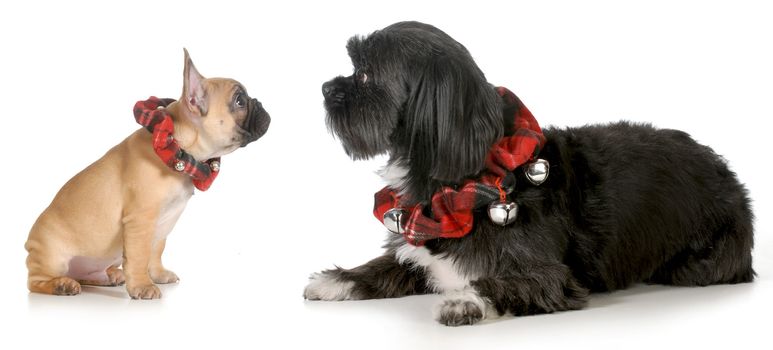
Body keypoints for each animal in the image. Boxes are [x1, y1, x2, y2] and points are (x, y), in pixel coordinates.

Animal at [25, 49, 272, 300]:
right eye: (239, 100)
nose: (260, 102)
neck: (176, 147)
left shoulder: (164, 222)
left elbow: (155, 250)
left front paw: (158, 274)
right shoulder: (141, 219)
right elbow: (139, 255)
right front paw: (142, 286)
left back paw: (110, 275)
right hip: (53, 257)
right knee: (35, 282)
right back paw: (61, 285)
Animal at [304, 21, 752, 326]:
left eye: (364, 74)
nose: (325, 88)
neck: (467, 182)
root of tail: (727, 171)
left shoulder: (549, 277)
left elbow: (502, 284)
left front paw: (463, 300)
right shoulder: (415, 249)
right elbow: (385, 264)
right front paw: (338, 279)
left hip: (705, 260)